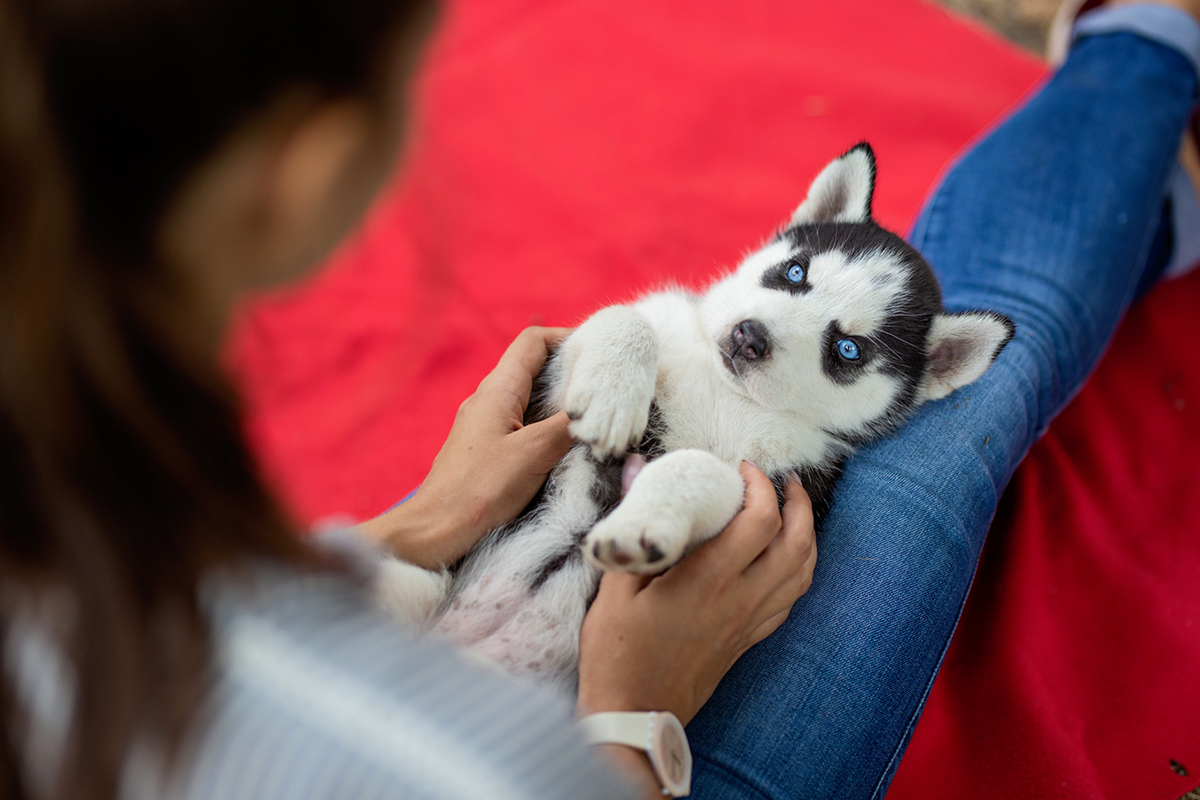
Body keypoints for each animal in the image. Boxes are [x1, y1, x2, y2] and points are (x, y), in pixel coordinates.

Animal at [374, 143, 1012, 695]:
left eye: (848, 350)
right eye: (795, 273)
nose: (750, 337)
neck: (724, 388)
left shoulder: (778, 492)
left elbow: (696, 469)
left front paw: (644, 522)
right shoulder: (551, 389)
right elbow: (623, 318)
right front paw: (613, 396)